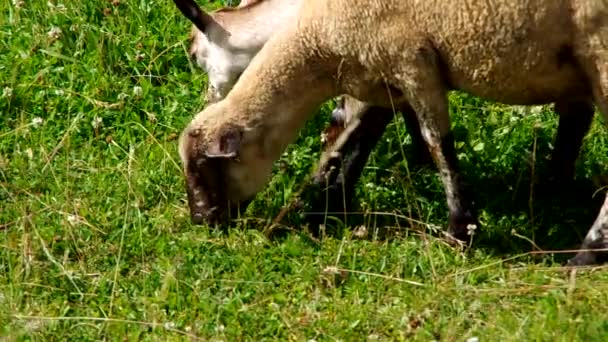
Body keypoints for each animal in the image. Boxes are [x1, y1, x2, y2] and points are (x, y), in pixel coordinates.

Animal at [178, 0, 608, 266]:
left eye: (204, 168)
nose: (201, 221)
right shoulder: (379, 69)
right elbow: (354, 138)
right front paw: (322, 204)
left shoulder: (412, 61)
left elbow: (436, 144)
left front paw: (460, 230)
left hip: (600, 55)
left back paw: (584, 256)